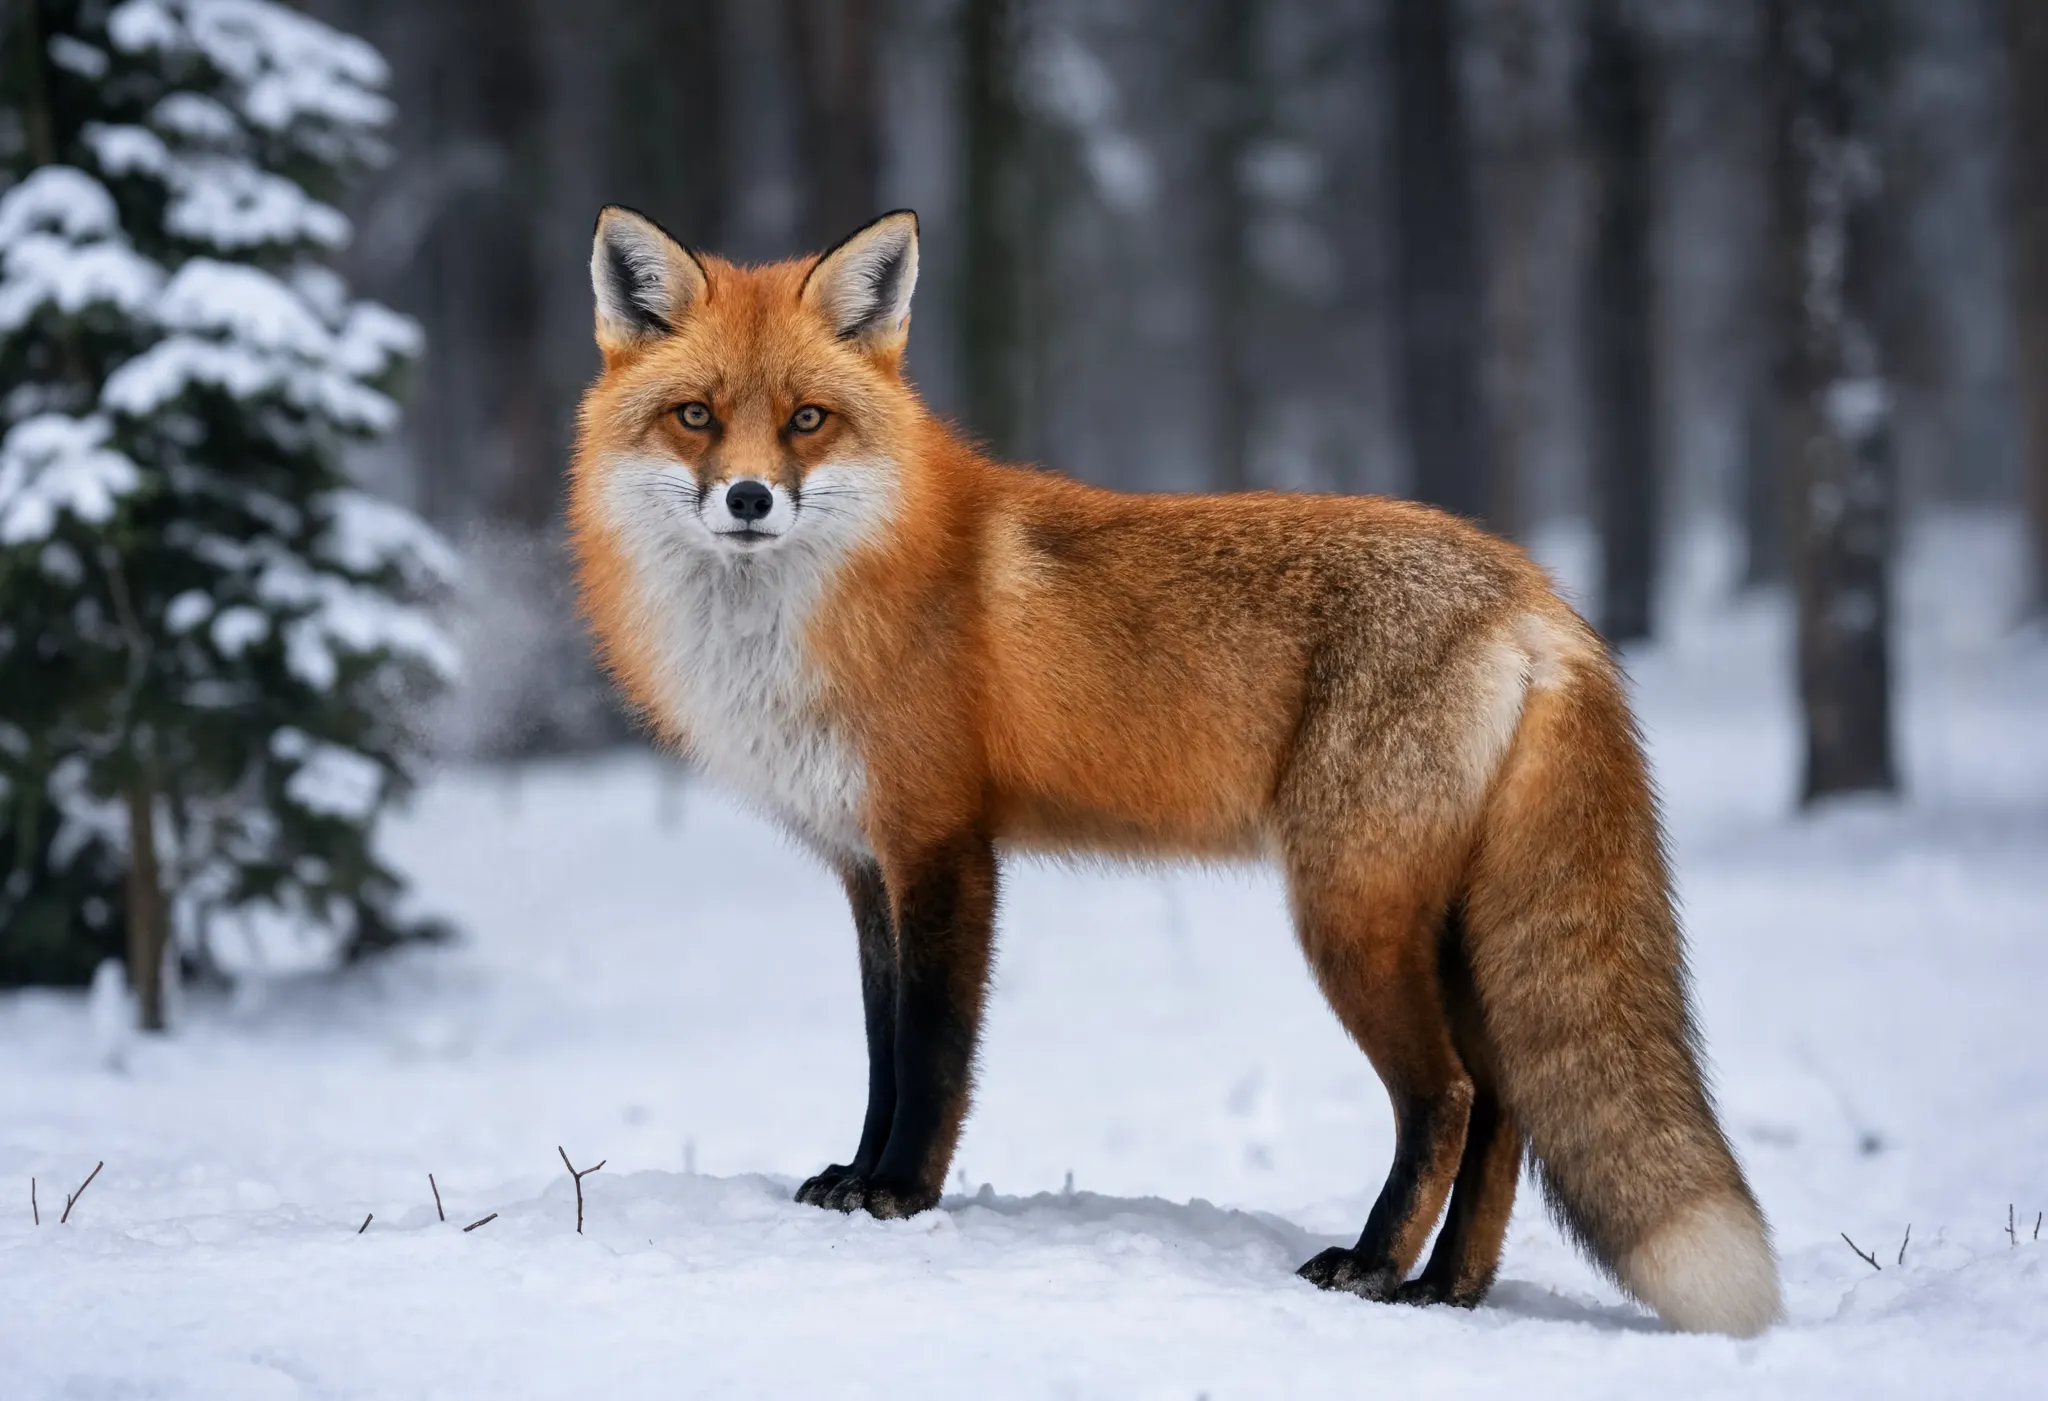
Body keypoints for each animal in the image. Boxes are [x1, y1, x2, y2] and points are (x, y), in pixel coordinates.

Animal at [566, 205, 1782, 1337]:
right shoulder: (868, 866)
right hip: (1444, 925)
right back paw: (1448, 1289)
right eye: (695, 416)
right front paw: (856, 1177)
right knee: (1506, 1108)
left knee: (1447, 1094)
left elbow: (932, 1053)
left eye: (807, 420)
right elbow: (880, 1054)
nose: (748, 499)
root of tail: (1536, 591)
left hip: (1351, 915)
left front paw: (900, 1193)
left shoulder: (945, 845)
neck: (812, 618)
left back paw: (1372, 1265)